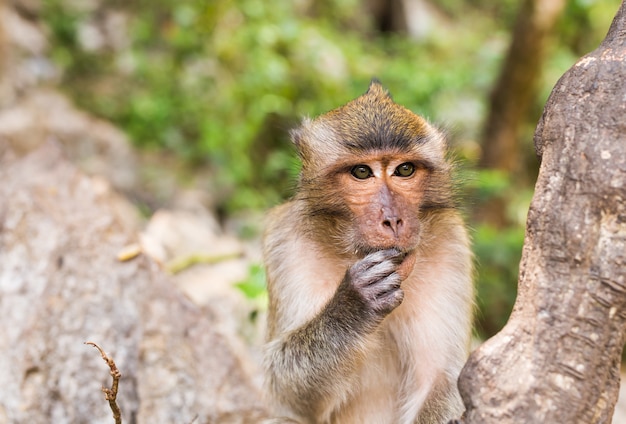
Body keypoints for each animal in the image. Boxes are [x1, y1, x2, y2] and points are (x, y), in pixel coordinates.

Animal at [260, 80, 470, 424]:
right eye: (361, 172)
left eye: (404, 169)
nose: (393, 219)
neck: (351, 251)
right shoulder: (286, 241)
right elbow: (285, 393)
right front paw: (355, 304)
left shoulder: (451, 242)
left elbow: (442, 379)